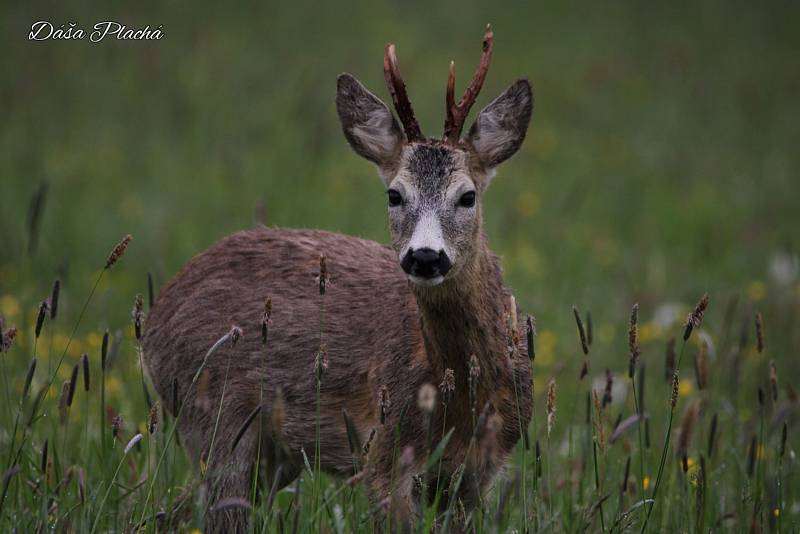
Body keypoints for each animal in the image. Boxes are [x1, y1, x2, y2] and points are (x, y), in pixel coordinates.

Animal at [143, 24, 536, 532]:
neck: (462, 401)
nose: (425, 256)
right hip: (212, 418)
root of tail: (153, 322)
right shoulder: (385, 450)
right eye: (394, 194)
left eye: (467, 196)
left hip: (270, 457)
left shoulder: (480, 470)